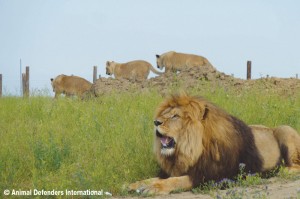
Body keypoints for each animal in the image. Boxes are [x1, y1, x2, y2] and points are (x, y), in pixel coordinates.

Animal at [130, 94, 300, 194]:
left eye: (175, 116)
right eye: (164, 114)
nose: (155, 122)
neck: (189, 151)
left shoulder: (209, 176)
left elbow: (177, 181)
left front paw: (153, 188)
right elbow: (153, 178)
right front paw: (134, 185)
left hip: (285, 130)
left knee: (295, 165)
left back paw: (280, 170)